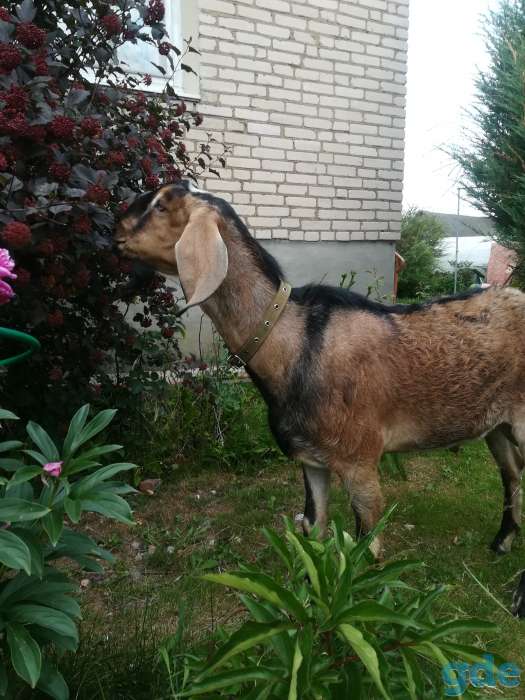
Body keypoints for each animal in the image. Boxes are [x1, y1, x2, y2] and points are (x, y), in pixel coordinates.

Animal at [115, 180, 525, 617]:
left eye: (161, 205)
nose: (116, 229)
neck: (294, 340)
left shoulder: (360, 460)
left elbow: (367, 546)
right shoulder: (311, 459)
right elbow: (314, 531)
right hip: (496, 425)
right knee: (512, 473)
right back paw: (502, 542)